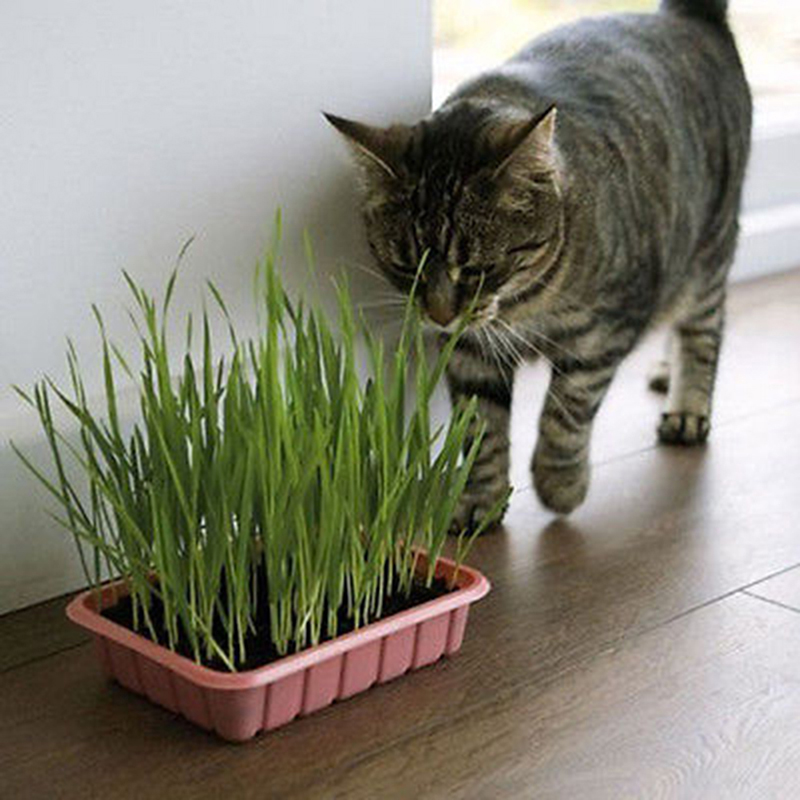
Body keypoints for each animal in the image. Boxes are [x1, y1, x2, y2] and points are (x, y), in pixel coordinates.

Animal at [325, 0, 751, 526]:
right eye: (407, 267)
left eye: (477, 268)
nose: (439, 315)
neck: (521, 304)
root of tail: (688, 18)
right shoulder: (470, 354)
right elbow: (481, 429)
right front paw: (481, 500)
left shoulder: (604, 330)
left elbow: (567, 408)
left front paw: (559, 483)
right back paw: (664, 370)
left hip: (709, 249)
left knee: (704, 331)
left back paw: (688, 409)